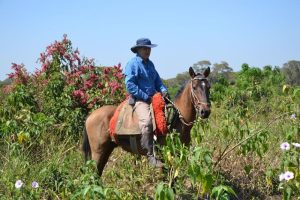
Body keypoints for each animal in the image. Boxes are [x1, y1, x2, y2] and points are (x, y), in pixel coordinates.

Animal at [82, 67, 211, 175]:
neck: (177, 121)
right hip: (97, 152)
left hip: (107, 149)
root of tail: (90, 116)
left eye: (208, 87)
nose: (205, 111)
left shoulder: (181, 153)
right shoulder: (164, 155)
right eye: (194, 87)